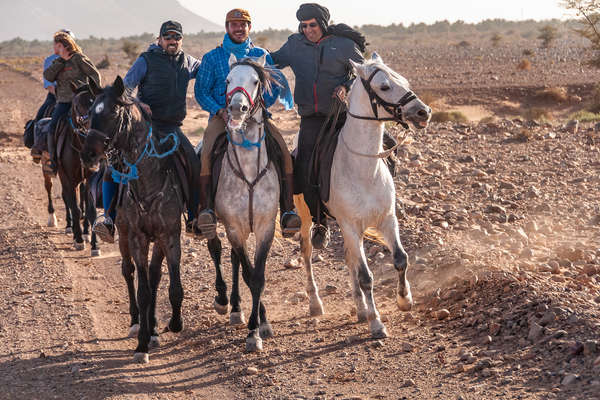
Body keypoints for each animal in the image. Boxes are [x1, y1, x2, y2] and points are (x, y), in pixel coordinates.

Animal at [296, 52, 432, 338]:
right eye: (384, 86)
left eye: (404, 81)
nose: (423, 112)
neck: (364, 168)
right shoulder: (350, 226)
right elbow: (366, 276)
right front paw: (376, 322)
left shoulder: (387, 220)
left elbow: (400, 260)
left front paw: (405, 300)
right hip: (307, 219)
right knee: (307, 254)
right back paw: (316, 304)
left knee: (350, 259)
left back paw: (359, 309)